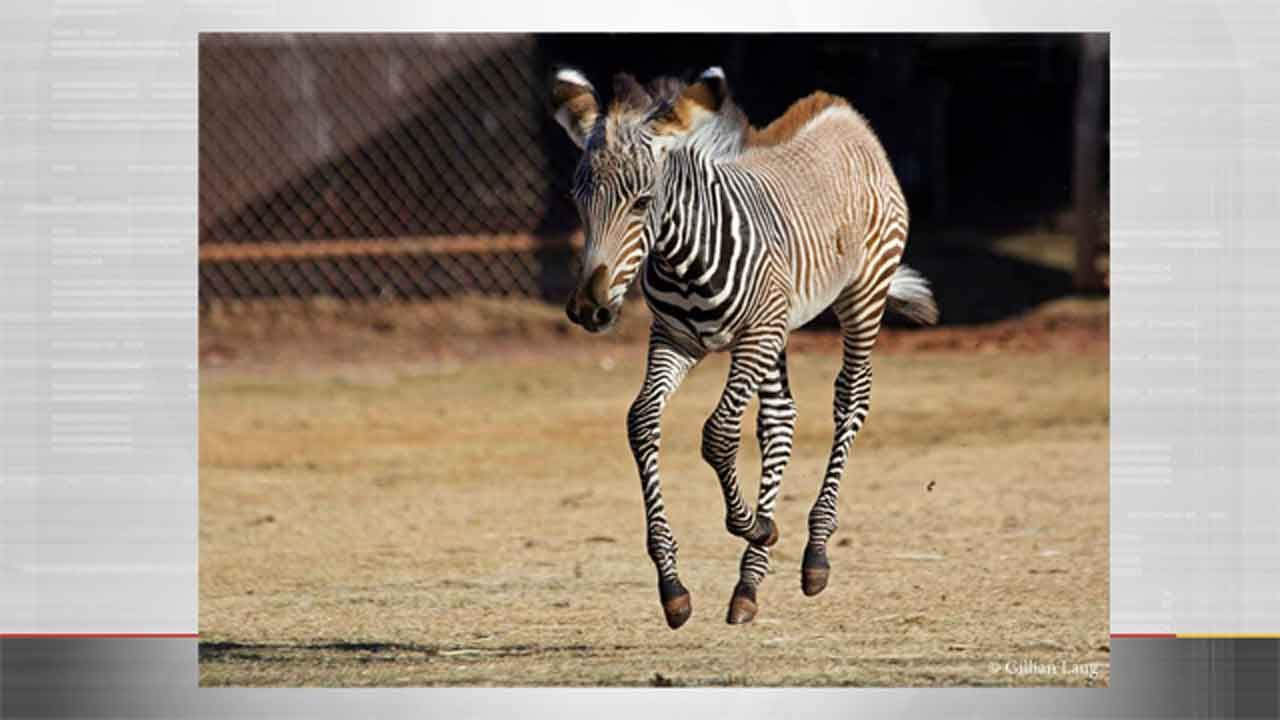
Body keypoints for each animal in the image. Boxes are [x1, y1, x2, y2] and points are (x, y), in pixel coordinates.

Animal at [551, 66, 939, 628]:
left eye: (642, 203)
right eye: (578, 202)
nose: (589, 309)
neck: (684, 258)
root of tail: (839, 108)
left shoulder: (753, 338)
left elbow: (717, 435)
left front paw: (755, 525)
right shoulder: (673, 339)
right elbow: (642, 422)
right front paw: (673, 586)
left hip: (861, 296)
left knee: (850, 400)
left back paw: (814, 554)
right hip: (779, 326)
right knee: (780, 420)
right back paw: (748, 587)